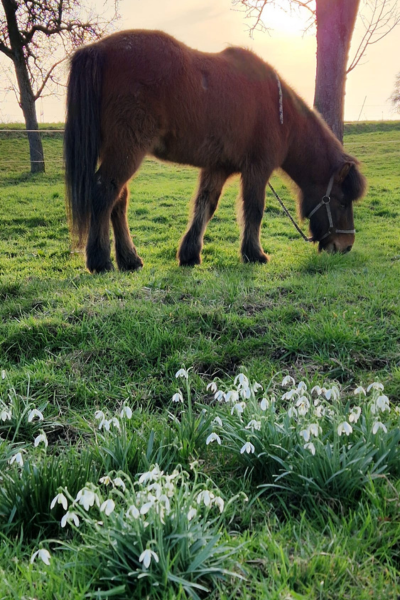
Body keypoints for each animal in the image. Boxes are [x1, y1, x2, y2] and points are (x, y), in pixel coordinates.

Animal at [63, 28, 366, 272]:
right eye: (342, 201)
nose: (346, 245)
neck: (282, 115)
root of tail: (99, 49)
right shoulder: (258, 169)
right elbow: (254, 209)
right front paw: (254, 254)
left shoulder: (218, 167)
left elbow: (205, 205)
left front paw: (189, 254)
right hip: (126, 150)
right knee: (104, 192)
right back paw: (100, 260)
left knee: (119, 200)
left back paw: (129, 260)